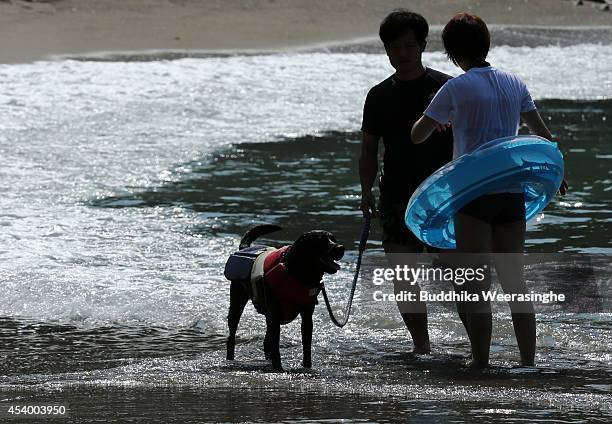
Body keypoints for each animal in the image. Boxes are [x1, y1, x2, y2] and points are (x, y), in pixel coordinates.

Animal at [224, 225, 344, 372]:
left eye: (333, 239)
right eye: (321, 241)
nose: (341, 248)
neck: (299, 275)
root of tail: (244, 249)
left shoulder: (307, 317)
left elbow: (307, 348)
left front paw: (307, 367)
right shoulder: (275, 316)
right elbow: (276, 347)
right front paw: (278, 369)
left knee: (266, 341)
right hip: (237, 305)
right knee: (232, 337)